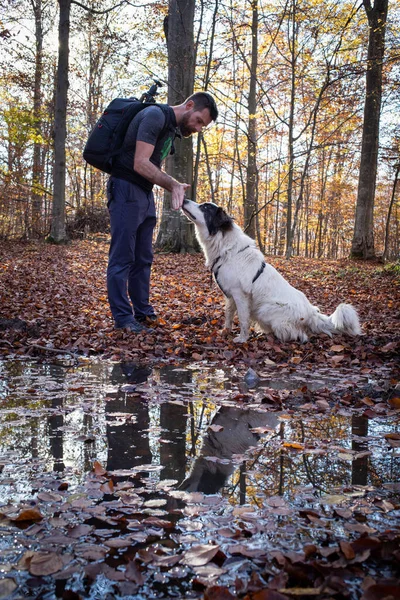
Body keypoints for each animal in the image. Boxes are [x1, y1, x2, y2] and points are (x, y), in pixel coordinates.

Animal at [183, 198, 360, 342]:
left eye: (205, 207)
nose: (184, 199)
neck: (226, 248)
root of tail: (311, 313)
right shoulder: (230, 295)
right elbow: (228, 314)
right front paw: (226, 331)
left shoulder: (240, 295)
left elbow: (243, 319)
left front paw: (242, 339)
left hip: (265, 309)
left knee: (299, 335)